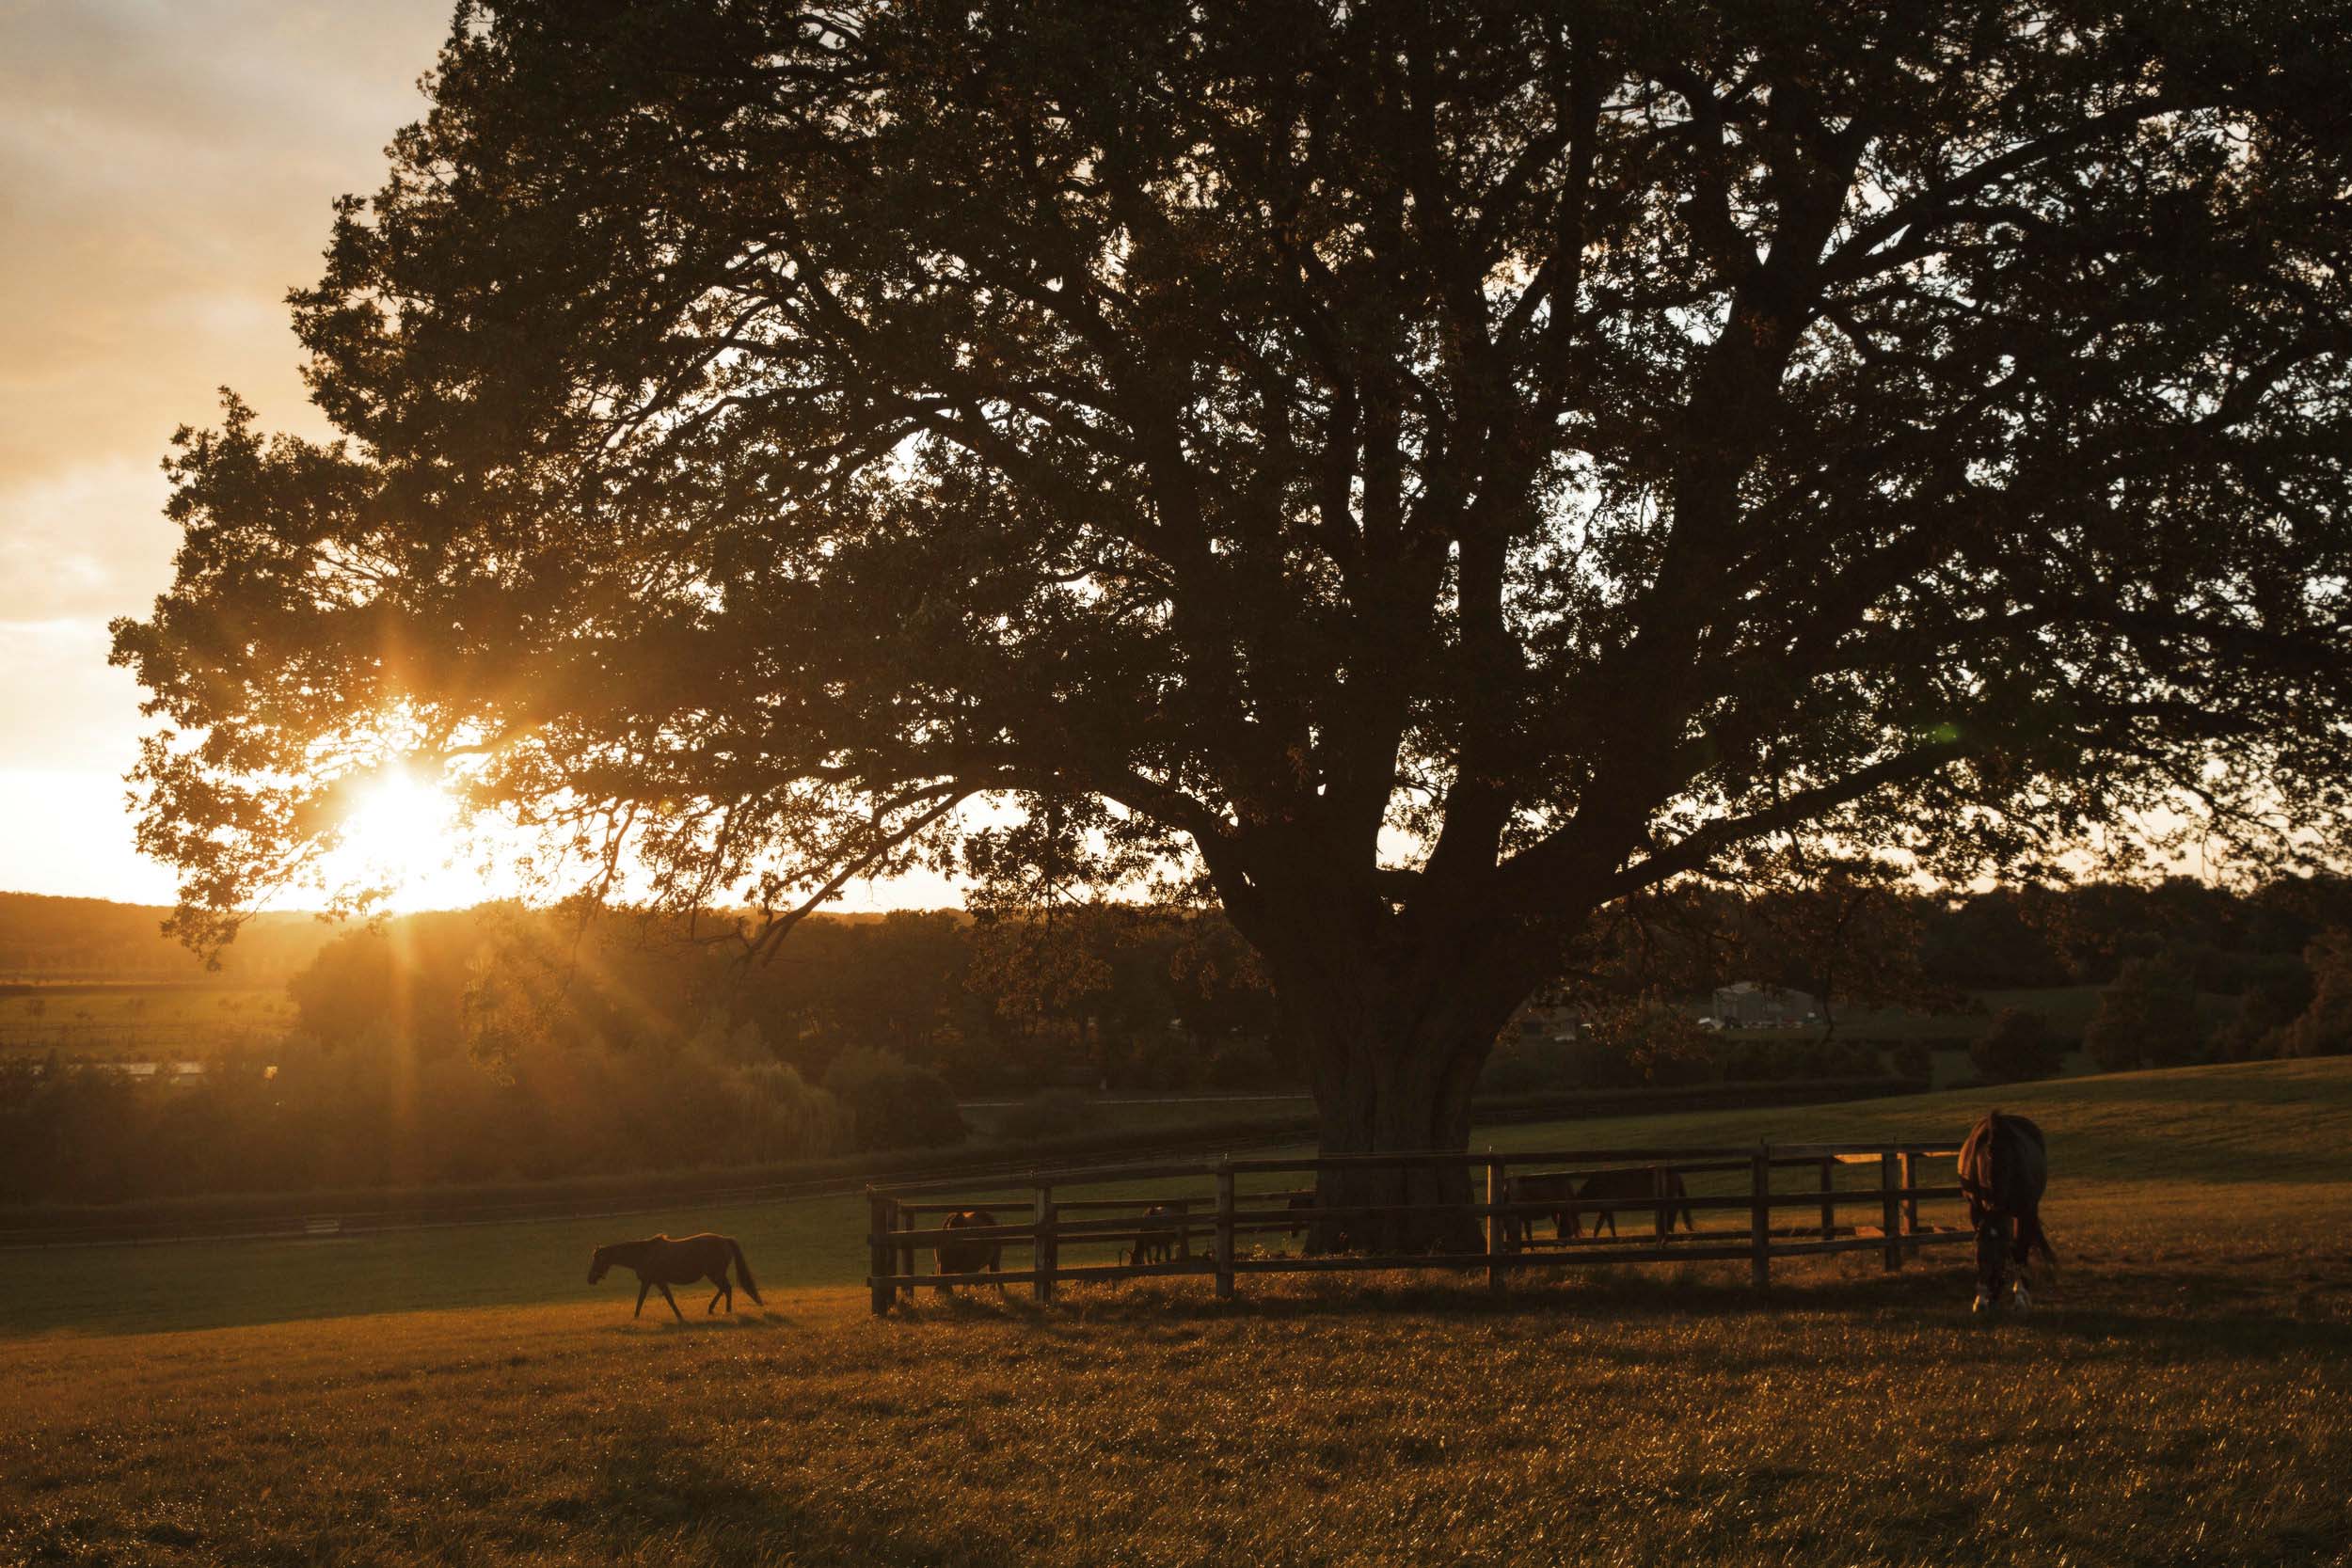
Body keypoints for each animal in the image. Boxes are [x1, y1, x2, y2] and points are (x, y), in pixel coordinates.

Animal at [585, 1231, 762, 1316]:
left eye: (596, 1259)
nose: (590, 1279)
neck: (644, 1254)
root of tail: (725, 1240)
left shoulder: (657, 1281)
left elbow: (668, 1300)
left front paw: (679, 1316)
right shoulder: (650, 1282)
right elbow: (642, 1300)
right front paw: (635, 1317)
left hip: (715, 1273)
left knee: (726, 1288)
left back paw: (725, 1310)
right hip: (714, 1274)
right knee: (725, 1289)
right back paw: (715, 1309)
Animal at [1571, 1165, 1703, 1241]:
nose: (1576, 1235)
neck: (1598, 1185)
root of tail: (1676, 1173)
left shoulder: (1607, 1208)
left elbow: (1604, 1224)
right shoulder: (1606, 1208)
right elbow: (1604, 1224)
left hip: (1669, 1196)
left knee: (1673, 1210)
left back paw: (1670, 1229)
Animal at [1947, 1109, 2060, 1316]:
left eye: (2000, 1253)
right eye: (1980, 1253)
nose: (1990, 1295)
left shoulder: (2024, 1210)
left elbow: (2019, 1251)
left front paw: (2020, 1298)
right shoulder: (1977, 1210)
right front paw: (1980, 1299)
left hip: (2027, 1209)